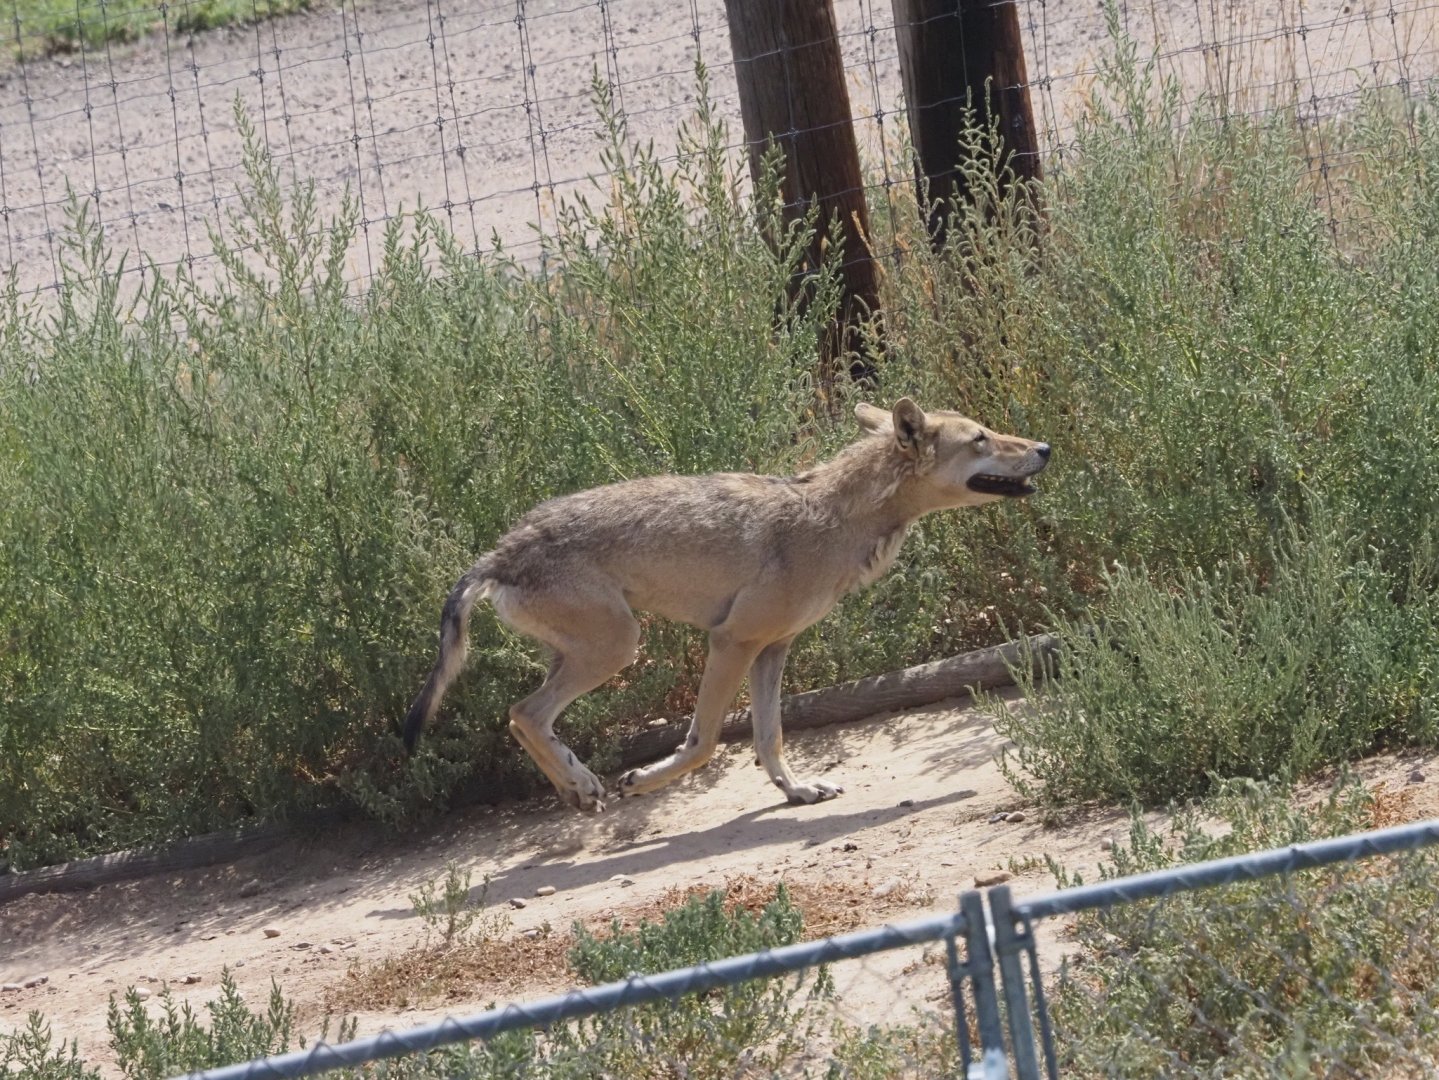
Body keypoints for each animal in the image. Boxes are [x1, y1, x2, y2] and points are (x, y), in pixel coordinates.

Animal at [404, 398, 1050, 812]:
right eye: (981, 438)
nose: (1044, 446)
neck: (834, 518)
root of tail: (500, 550)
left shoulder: (773, 650)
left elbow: (770, 739)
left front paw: (797, 792)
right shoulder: (731, 642)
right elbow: (706, 742)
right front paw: (642, 781)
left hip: (591, 653)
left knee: (521, 716)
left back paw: (573, 787)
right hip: (619, 649)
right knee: (523, 712)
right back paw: (587, 784)